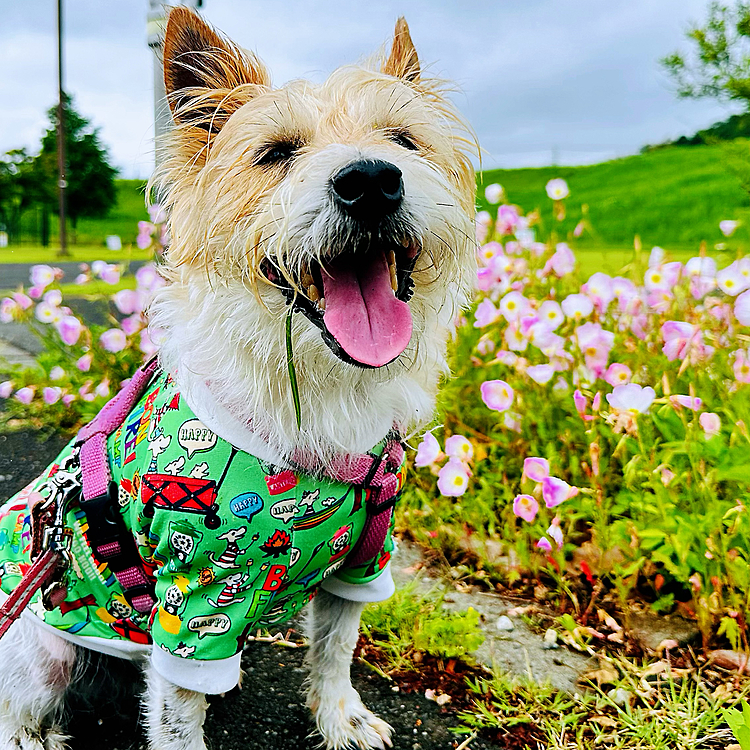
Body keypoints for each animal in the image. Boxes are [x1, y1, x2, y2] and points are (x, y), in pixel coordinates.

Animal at [0, 10, 476, 750]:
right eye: (276, 153)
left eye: (403, 140)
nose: (372, 181)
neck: (314, 388)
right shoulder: (193, 603)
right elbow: (177, 718)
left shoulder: (364, 563)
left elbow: (336, 648)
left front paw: (340, 718)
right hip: (40, 643)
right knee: (18, 708)